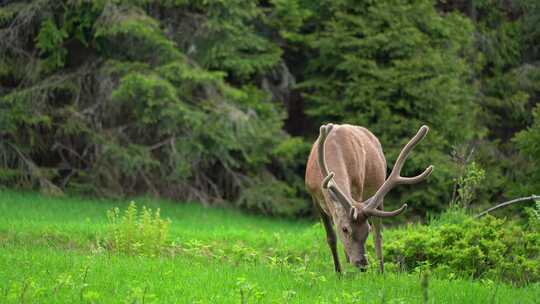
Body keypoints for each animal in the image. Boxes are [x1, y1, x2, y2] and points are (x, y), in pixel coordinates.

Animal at [306, 123, 432, 274]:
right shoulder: (314, 196)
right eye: (345, 229)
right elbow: (331, 238)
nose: (362, 264)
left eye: (367, 229)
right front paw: (339, 272)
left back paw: (381, 271)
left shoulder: (357, 190)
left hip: (378, 189)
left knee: (379, 234)